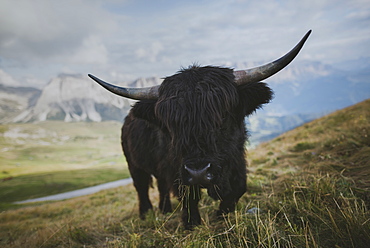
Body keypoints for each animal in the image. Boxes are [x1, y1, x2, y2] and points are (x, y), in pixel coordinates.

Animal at [88, 30, 310, 229]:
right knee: (141, 187)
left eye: (223, 115)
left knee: (160, 186)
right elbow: (188, 197)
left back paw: (165, 210)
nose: (199, 173)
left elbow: (238, 188)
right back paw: (146, 214)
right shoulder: (176, 169)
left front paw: (222, 215)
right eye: (171, 125)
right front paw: (191, 224)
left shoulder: (237, 160)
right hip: (134, 164)